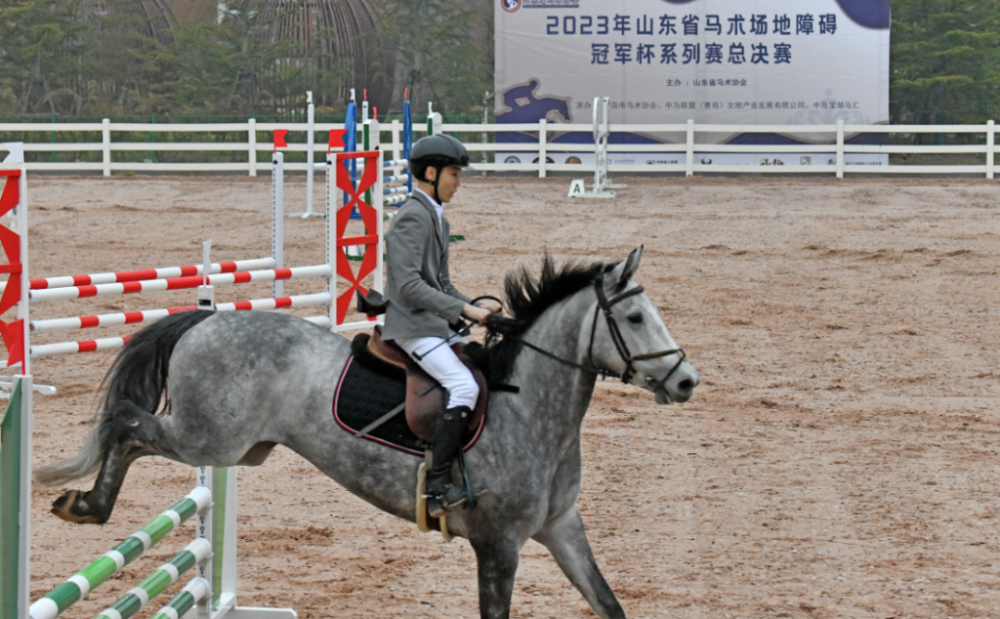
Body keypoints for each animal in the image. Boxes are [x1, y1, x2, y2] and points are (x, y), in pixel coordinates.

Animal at [39, 248, 704, 619]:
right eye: (635, 317)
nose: (686, 381)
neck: (534, 411)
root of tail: (207, 320)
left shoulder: (561, 527)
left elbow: (608, 603)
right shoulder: (498, 545)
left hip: (239, 450)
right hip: (207, 439)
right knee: (126, 424)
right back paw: (85, 505)